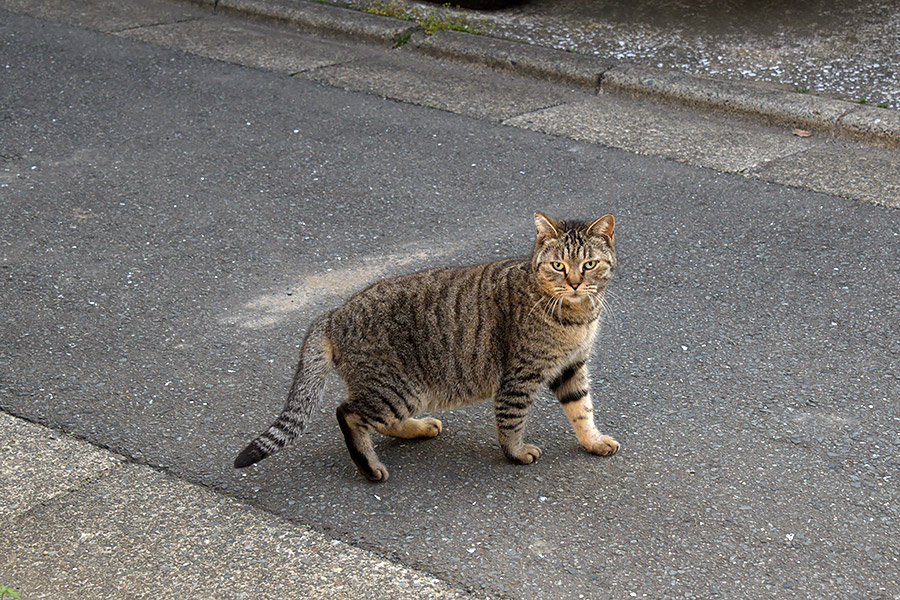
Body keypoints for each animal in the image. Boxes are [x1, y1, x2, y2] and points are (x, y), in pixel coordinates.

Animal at [234, 213, 620, 480]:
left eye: (588, 264)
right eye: (558, 265)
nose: (574, 283)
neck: (577, 317)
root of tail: (334, 313)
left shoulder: (572, 367)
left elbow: (582, 410)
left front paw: (593, 441)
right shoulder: (520, 376)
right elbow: (511, 421)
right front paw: (516, 453)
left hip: (405, 393)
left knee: (378, 421)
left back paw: (418, 429)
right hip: (395, 389)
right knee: (348, 413)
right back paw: (369, 466)